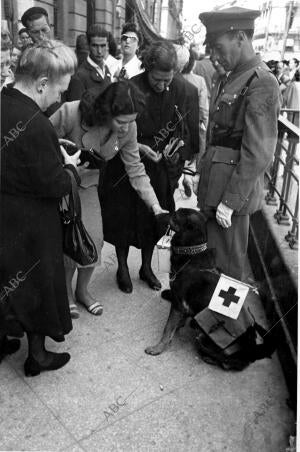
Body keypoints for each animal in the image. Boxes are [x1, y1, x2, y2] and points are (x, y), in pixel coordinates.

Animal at [145, 208, 218, 356]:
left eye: (174, 216)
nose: (155, 215)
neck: (191, 252)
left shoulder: (178, 305)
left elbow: (167, 328)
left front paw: (158, 347)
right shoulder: (181, 305)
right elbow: (175, 323)